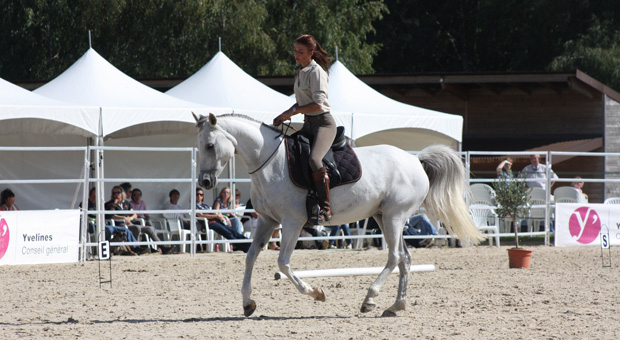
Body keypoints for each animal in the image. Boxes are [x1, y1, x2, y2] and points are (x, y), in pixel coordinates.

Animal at [194, 113, 484, 318]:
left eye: (209, 145)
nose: (205, 183)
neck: (270, 162)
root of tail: (416, 160)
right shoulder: (268, 221)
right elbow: (251, 257)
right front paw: (247, 303)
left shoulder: (292, 222)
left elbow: (283, 263)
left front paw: (316, 292)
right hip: (384, 217)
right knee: (405, 259)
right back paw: (395, 306)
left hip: (394, 216)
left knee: (394, 256)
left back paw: (370, 299)